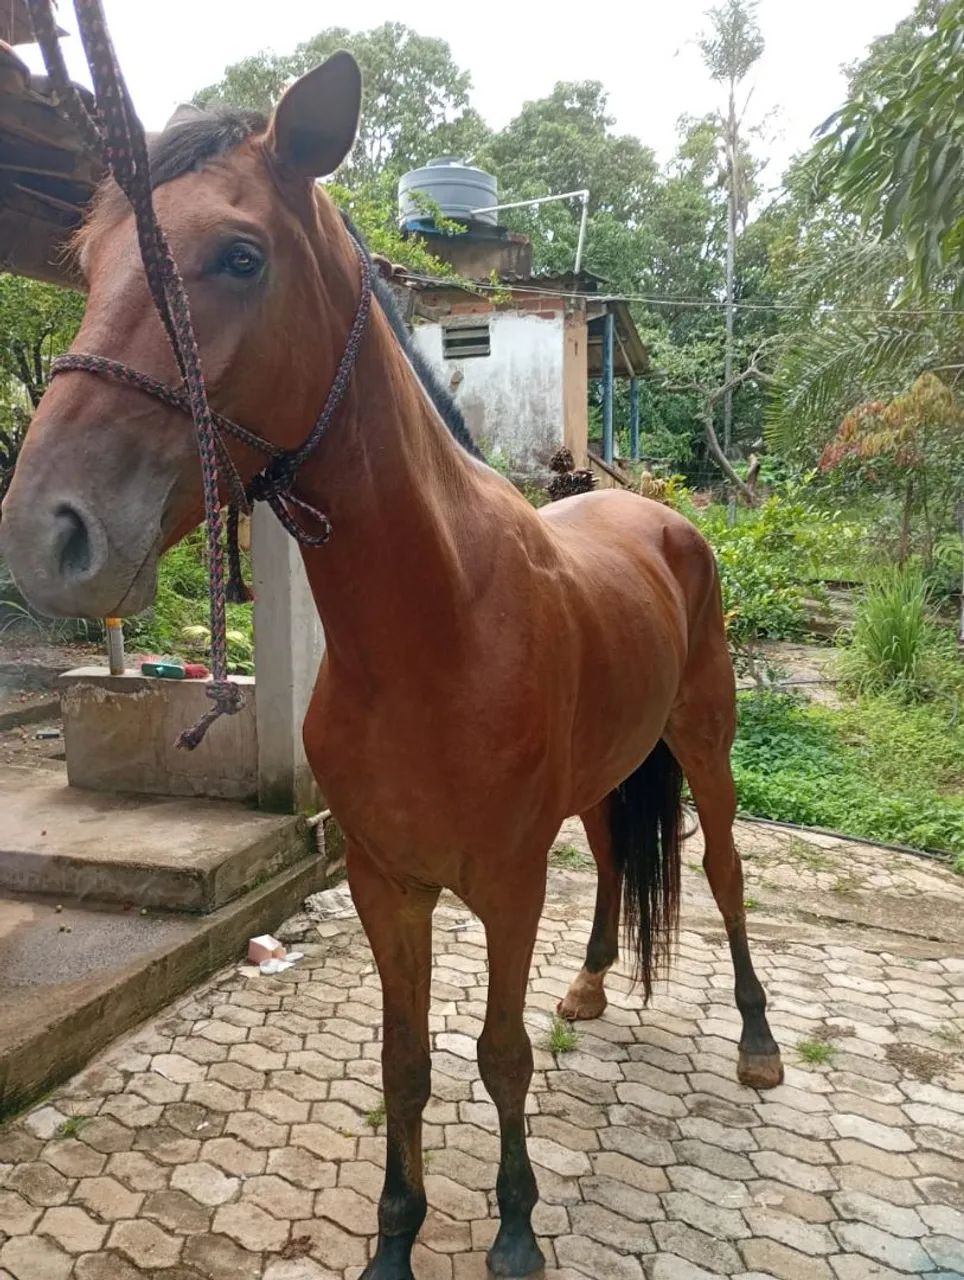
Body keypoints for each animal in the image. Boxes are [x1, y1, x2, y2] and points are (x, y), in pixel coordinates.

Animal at [0, 53, 783, 1280]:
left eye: (240, 256)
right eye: (85, 264)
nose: (48, 535)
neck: (438, 628)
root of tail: (662, 521)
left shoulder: (507, 884)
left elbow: (499, 1054)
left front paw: (514, 1228)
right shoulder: (385, 883)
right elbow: (402, 1060)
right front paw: (395, 1235)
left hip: (704, 742)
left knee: (725, 872)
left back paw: (756, 1039)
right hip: (607, 769)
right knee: (617, 853)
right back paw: (592, 980)